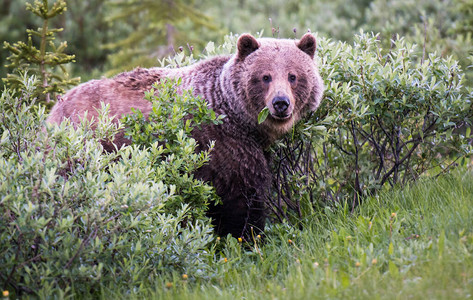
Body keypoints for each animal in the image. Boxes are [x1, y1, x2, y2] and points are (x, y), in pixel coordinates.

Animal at [46, 33, 322, 239]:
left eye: (293, 75)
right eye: (265, 76)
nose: (280, 103)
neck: (240, 119)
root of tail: (53, 110)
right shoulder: (223, 148)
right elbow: (242, 200)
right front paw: (248, 238)